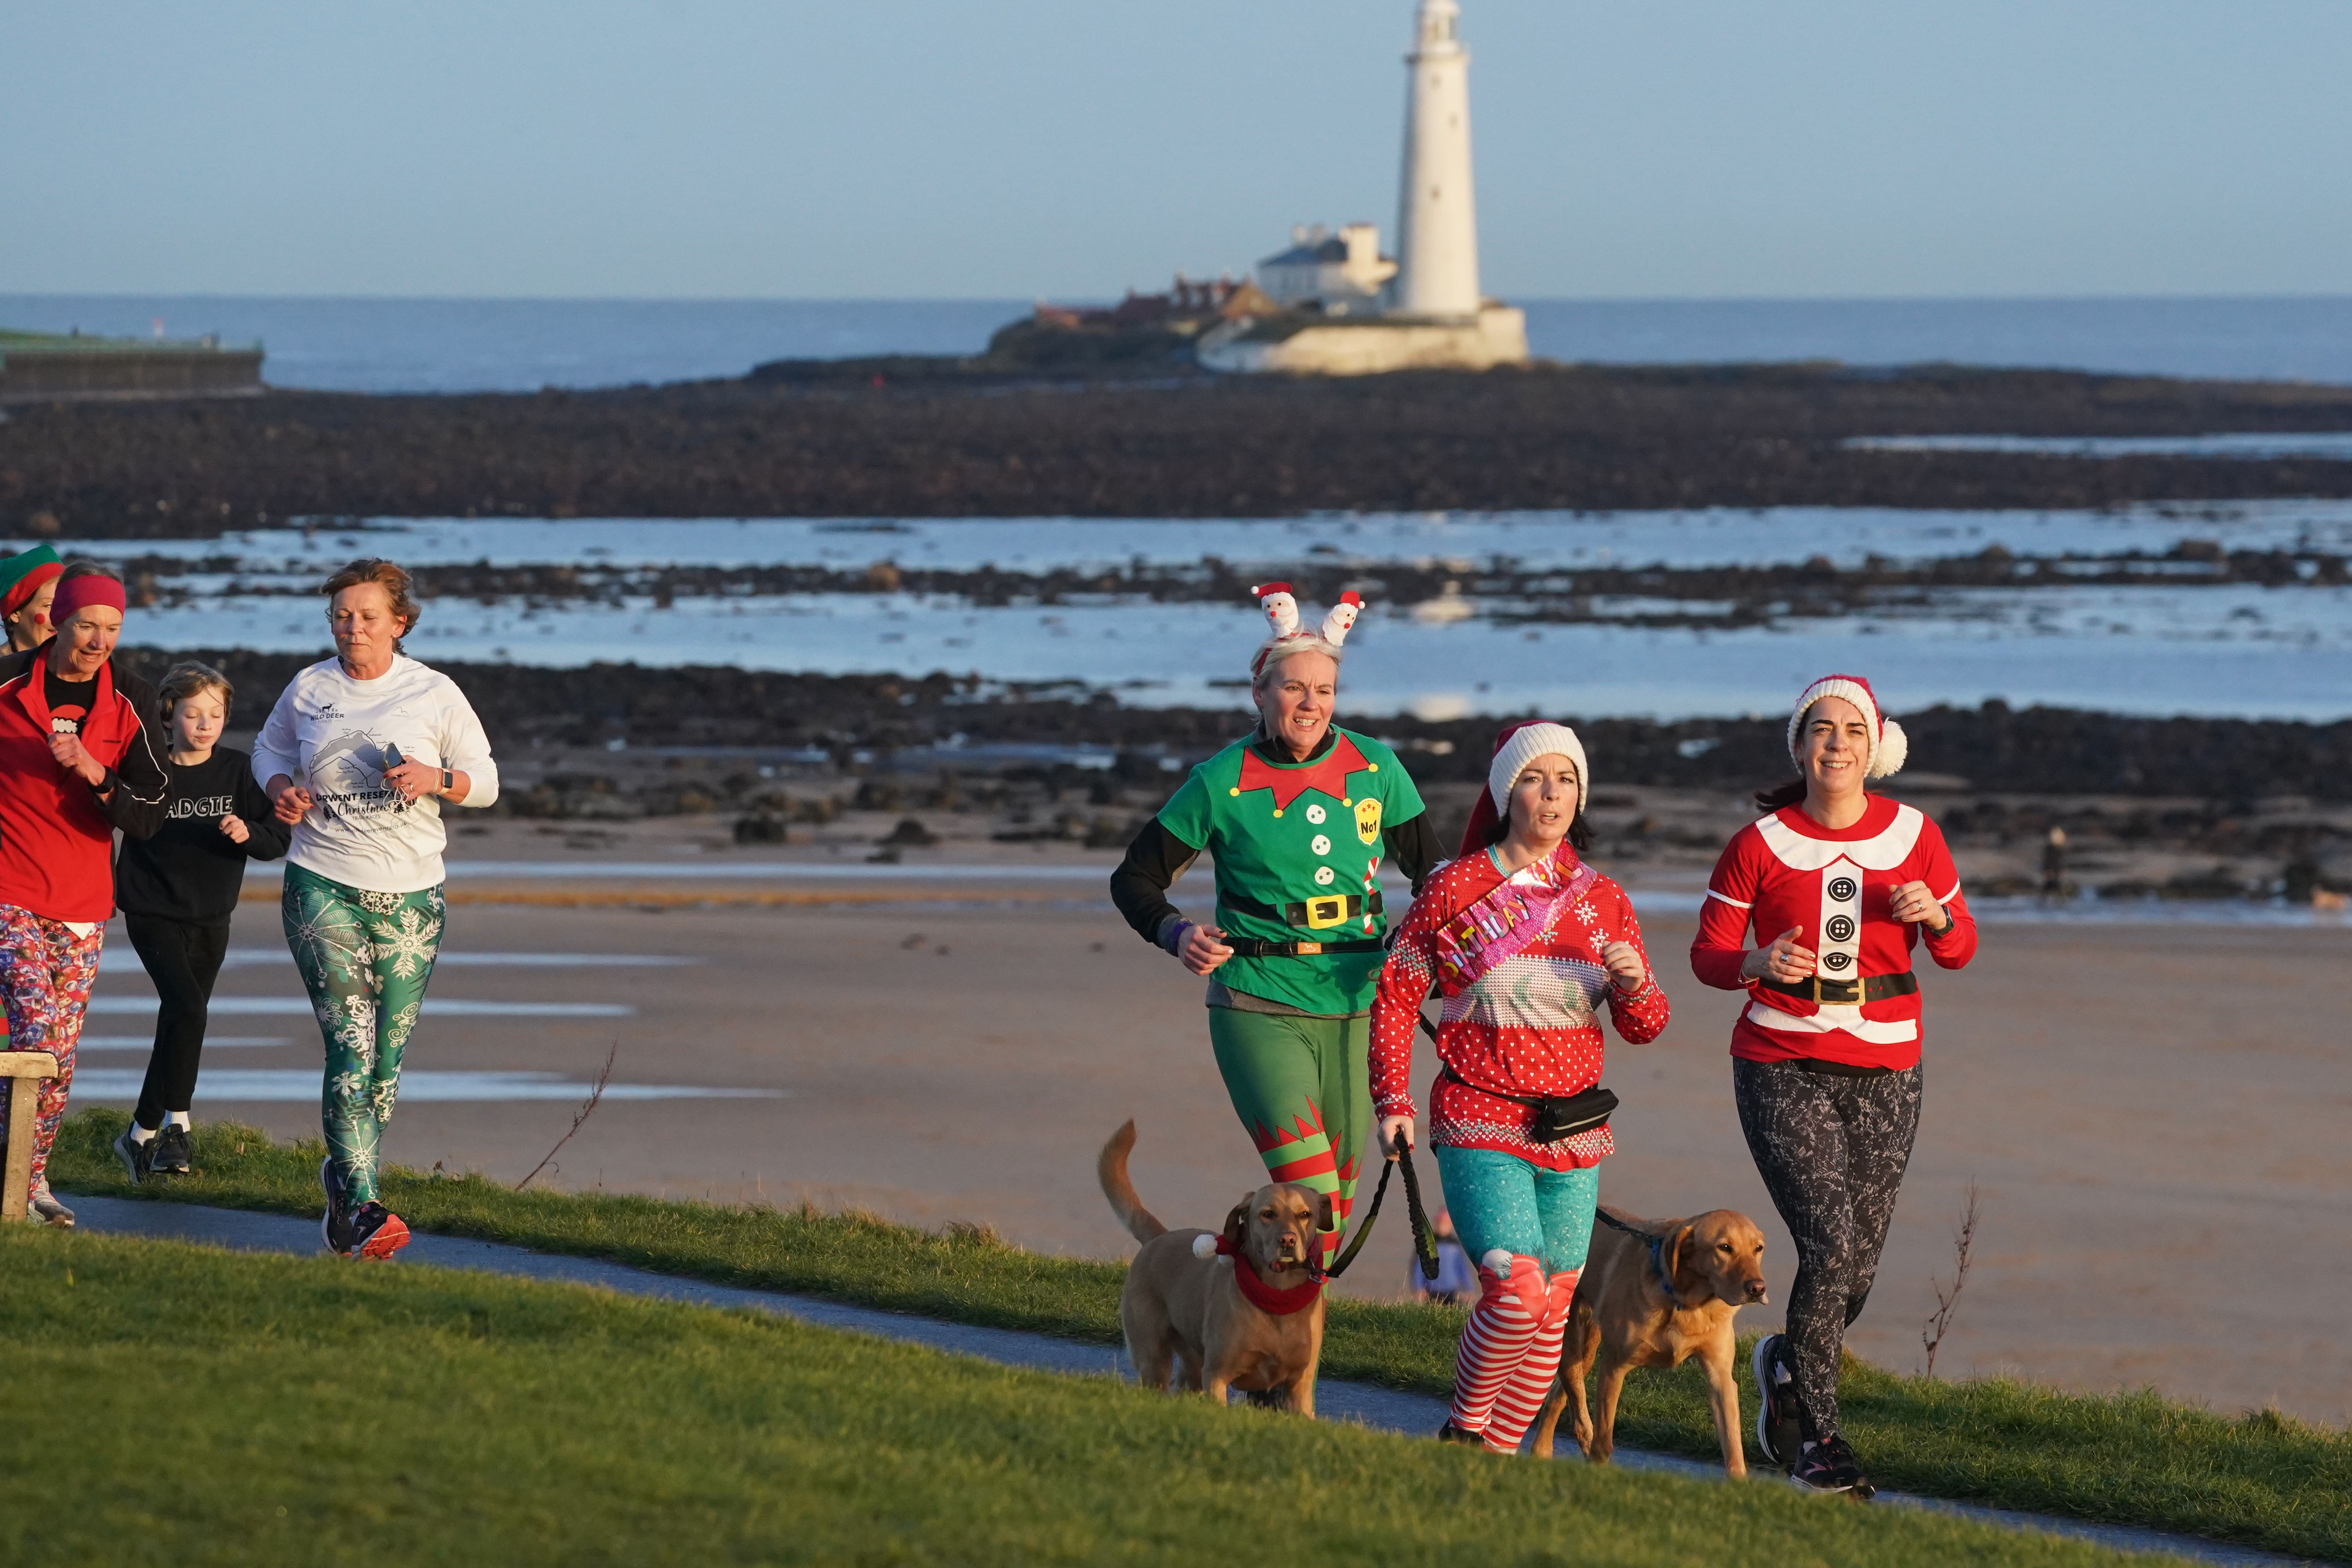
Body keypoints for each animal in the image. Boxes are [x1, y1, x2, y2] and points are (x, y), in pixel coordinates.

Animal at [1096, 1123, 1336, 1419]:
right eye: (1267, 1214)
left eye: (1305, 1215)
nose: (1288, 1241)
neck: (1277, 1297)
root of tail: (1159, 1237)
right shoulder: (1217, 1375)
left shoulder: (1298, 1387)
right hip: (1154, 1355)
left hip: (1191, 1363)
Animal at [1524, 1213, 1768, 1476]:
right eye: (1724, 1247)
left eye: (1758, 1249)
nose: (1758, 1289)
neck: (1686, 1304)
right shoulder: (1614, 1368)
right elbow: (1604, 1439)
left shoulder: (1720, 1377)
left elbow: (1733, 1447)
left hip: (1585, 1350)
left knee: (1560, 1394)